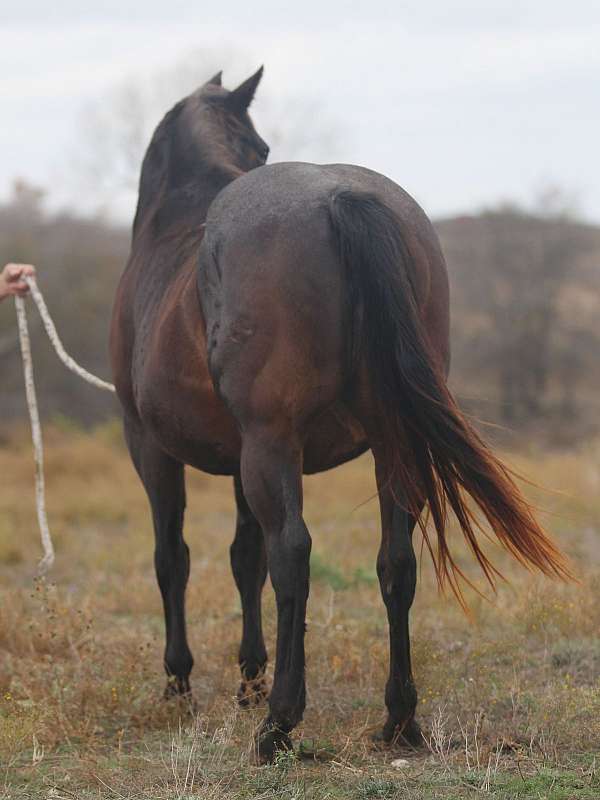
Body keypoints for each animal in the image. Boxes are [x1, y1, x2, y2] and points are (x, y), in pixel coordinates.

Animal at [109, 67, 572, 764]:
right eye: (260, 144)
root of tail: (342, 197)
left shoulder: (154, 449)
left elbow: (176, 558)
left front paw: (181, 686)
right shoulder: (237, 458)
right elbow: (243, 557)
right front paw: (246, 679)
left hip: (271, 445)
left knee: (292, 555)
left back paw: (278, 725)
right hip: (386, 443)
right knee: (395, 563)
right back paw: (398, 720)